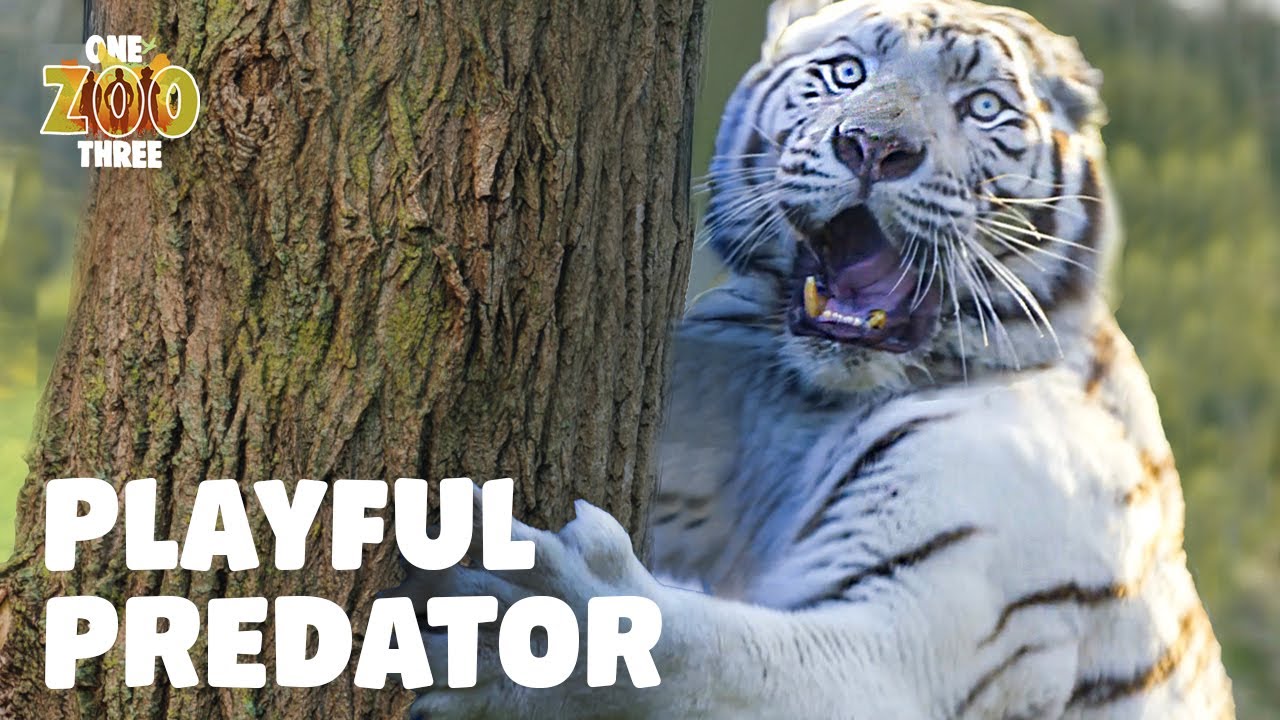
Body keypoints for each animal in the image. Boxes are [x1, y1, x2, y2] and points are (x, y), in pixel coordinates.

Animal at [394, 0, 1236, 717]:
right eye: (847, 73)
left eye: (982, 107)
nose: (874, 148)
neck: (799, 400)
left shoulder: (914, 638)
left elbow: (723, 660)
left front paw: (530, 636)